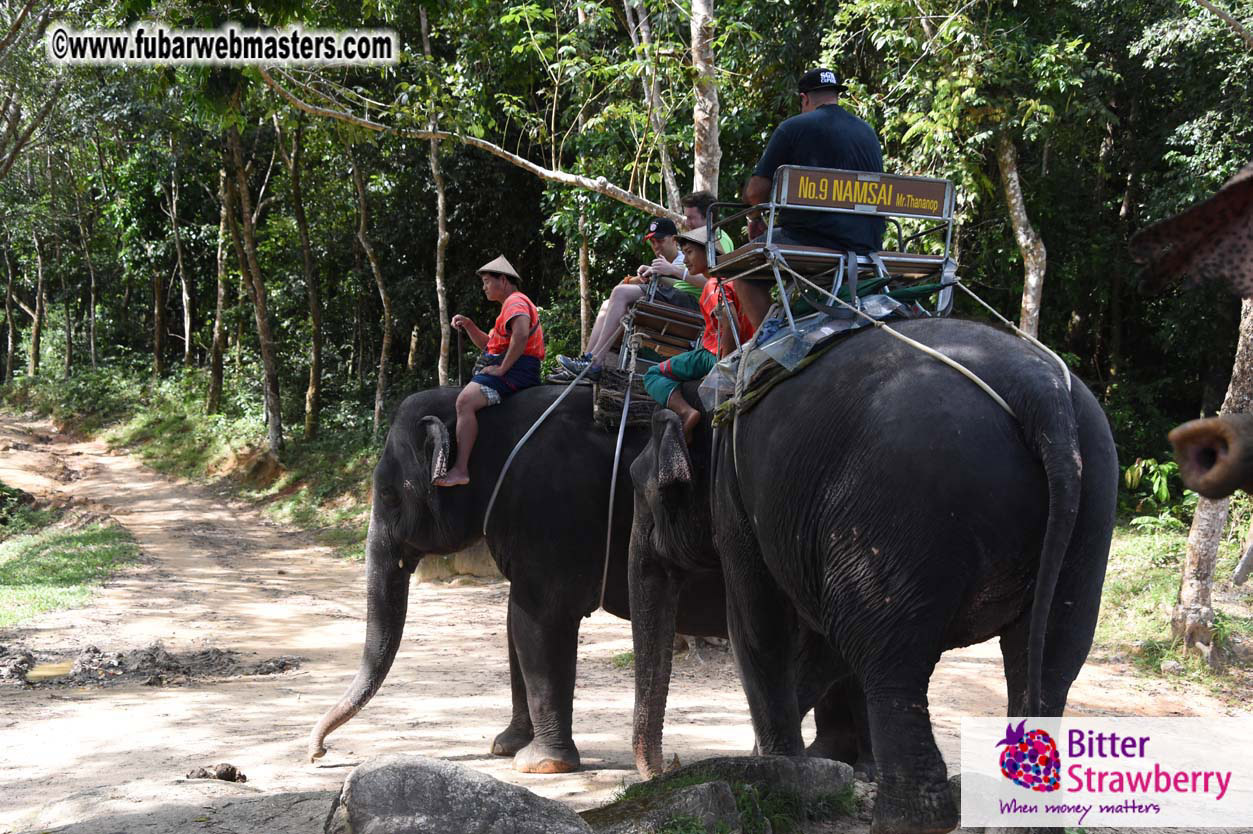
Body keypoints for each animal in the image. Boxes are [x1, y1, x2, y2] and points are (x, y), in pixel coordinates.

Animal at [307, 383, 859, 773]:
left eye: (388, 495)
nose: (319, 753)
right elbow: (515, 624)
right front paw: (506, 746)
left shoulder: (551, 510)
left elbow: (537, 621)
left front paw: (540, 765)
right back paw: (838, 759)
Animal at [628, 318, 1119, 834]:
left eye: (638, 486)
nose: (663, 770)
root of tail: (1043, 393)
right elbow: (819, 643)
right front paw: (793, 765)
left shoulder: (735, 497)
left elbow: (758, 627)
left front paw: (780, 773)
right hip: (1091, 509)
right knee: (1049, 659)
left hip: (902, 508)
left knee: (881, 653)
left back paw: (906, 819)